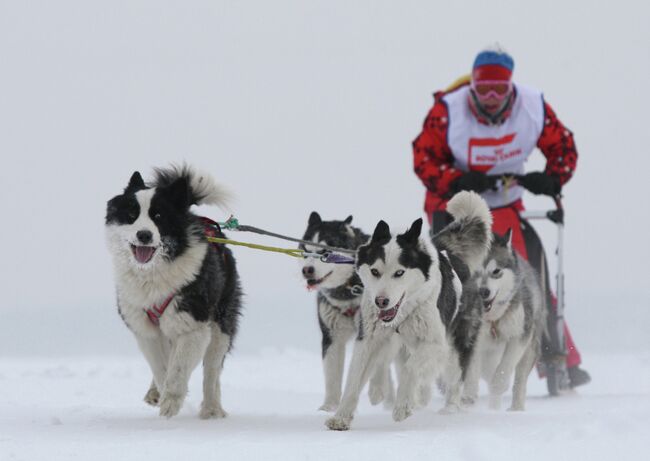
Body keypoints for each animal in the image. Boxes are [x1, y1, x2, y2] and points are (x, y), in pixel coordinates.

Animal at [105, 164, 242, 416]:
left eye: (158, 216)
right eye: (131, 216)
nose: (144, 235)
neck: (153, 273)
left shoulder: (193, 325)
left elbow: (178, 369)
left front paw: (171, 401)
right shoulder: (145, 329)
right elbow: (162, 366)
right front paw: (163, 394)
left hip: (221, 323)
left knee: (212, 371)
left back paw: (211, 409)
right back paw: (154, 392)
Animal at [300, 214, 394, 412]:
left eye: (325, 252)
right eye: (305, 251)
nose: (306, 270)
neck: (350, 288)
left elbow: (379, 362)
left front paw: (375, 390)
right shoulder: (332, 336)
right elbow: (332, 375)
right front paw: (330, 406)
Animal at [326, 190, 488, 428]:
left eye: (399, 273)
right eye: (374, 271)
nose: (381, 301)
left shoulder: (434, 343)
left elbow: (411, 369)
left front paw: (403, 405)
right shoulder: (369, 341)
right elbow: (354, 380)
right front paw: (341, 417)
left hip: (457, 343)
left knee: (454, 377)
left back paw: (448, 409)